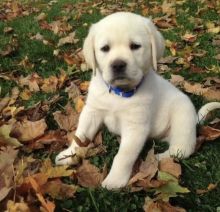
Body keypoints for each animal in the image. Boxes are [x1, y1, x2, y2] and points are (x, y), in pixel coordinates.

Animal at [56, 12, 220, 190]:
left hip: (182, 118)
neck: (119, 94)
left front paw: (115, 180)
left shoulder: (136, 127)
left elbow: (123, 156)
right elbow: (80, 135)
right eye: (105, 48)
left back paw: (158, 158)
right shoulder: (92, 111)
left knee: (181, 150)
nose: (118, 64)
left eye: (135, 46)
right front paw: (68, 155)